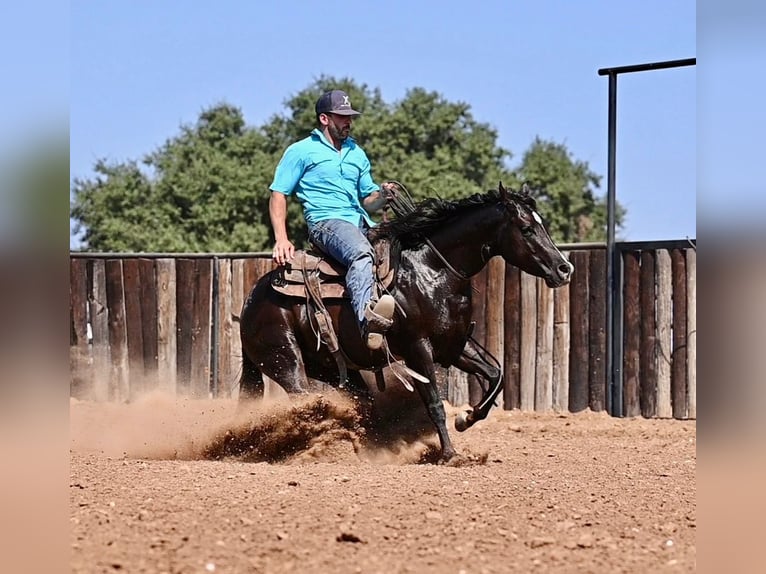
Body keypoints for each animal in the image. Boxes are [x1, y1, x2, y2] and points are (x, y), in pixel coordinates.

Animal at [242, 184, 576, 464]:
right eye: (527, 228)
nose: (565, 269)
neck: (434, 269)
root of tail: (250, 300)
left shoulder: (454, 344)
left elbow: (496, 376)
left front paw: (466, 418)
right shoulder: (419, 348)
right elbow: (435, 403)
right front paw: (450, 454)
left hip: (331, 368)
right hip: (286, 362)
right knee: (304, 403)